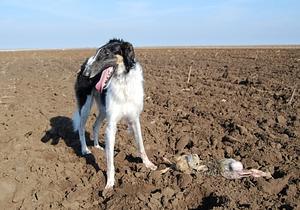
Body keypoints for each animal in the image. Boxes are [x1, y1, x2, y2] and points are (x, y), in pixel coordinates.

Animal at [73, 39, 157, 189]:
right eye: (97, 52)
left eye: (106, 53)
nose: (86, 73)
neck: (122, 81)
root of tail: (83, 64)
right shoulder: (111, 125)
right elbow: (110, 160)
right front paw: (110, 183)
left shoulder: (135, 119)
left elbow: (141, 144)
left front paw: (148, 164)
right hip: (85, 106)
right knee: (82, 128)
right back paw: (85, 150)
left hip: (102, 109)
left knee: (95, 125)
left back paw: (97, 146)